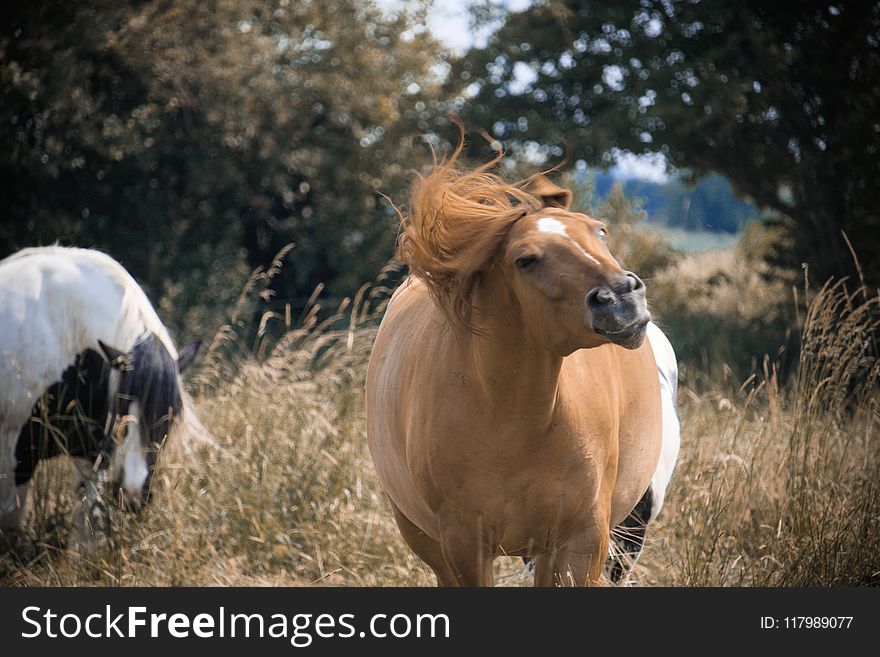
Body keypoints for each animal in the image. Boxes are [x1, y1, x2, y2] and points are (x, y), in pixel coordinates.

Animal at [364, 154, 680, 584]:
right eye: (526, 260)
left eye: (599, 231)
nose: (621, 298)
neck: (518, 419)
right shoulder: (464, 544)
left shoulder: (583, 539)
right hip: (427, 537)